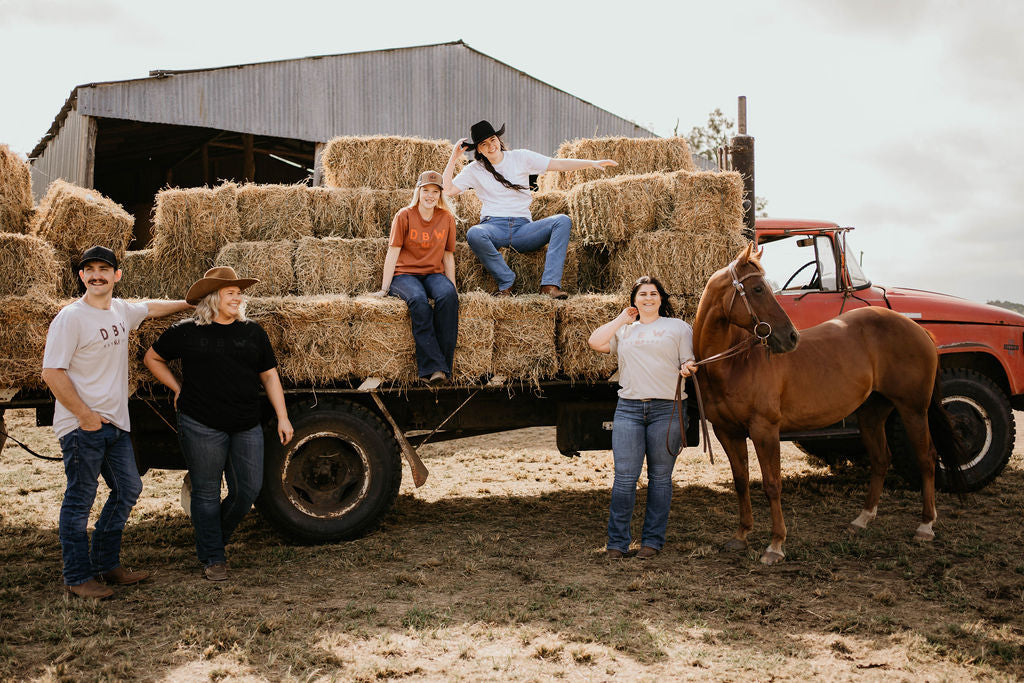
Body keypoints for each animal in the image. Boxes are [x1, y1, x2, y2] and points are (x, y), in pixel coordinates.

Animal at [692, 242, 962, 565]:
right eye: (757, 289)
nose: (790, 337)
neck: (735, 363)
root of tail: (918, 328)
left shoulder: (764, 430)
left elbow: (772, 484)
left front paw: (775, 545)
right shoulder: (727, 432)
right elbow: (741, 480)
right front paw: (742, 535)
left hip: (913, 410)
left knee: (926, 459)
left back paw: (925, 526)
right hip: (872, 413)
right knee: (880, 459)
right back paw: (862, 520)